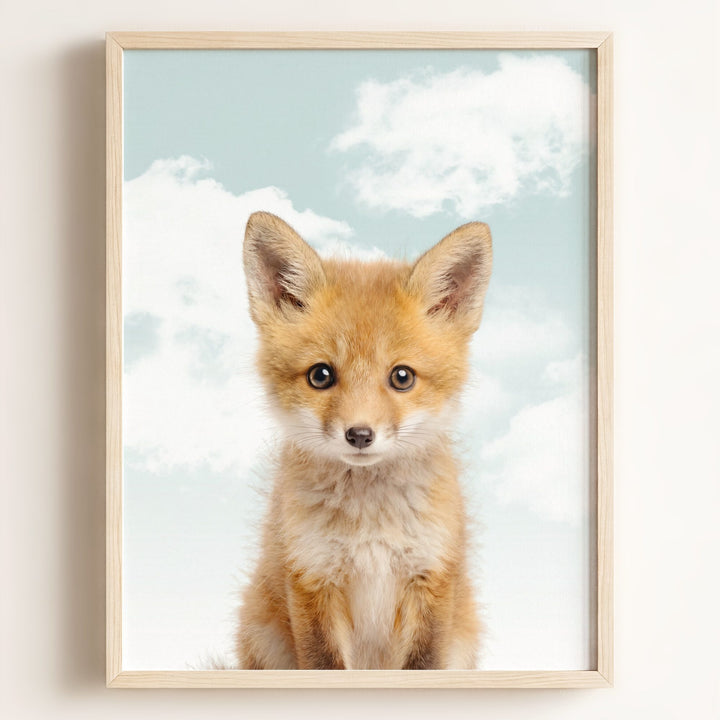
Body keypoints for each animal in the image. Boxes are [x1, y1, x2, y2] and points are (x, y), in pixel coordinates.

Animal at [237, 211, 492, 670]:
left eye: (402, 377)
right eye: (320, 375)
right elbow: (324, 665)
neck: (370, 526)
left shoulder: (430, 578)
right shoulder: (312, 577)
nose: (359, 435)